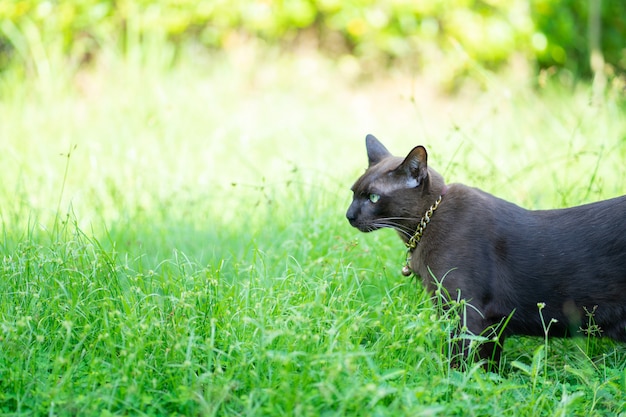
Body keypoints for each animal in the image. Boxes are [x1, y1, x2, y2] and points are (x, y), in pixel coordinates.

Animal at [346, 134, 624, 370]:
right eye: (353, 193)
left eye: (373, 197)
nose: (349, 215)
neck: (426, 223)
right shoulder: (486, 323)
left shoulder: (468, 311)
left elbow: (463, 364)